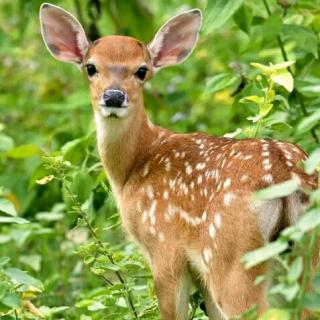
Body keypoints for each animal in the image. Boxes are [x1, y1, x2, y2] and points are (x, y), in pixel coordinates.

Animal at [40, 3, 318, 320]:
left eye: (142, 70)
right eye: (91, 67)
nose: (113, 96)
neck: (135, 165)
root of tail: (285, 173)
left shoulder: (164, 245)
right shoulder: (197, 269)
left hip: (231, 255)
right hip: (306, 257)